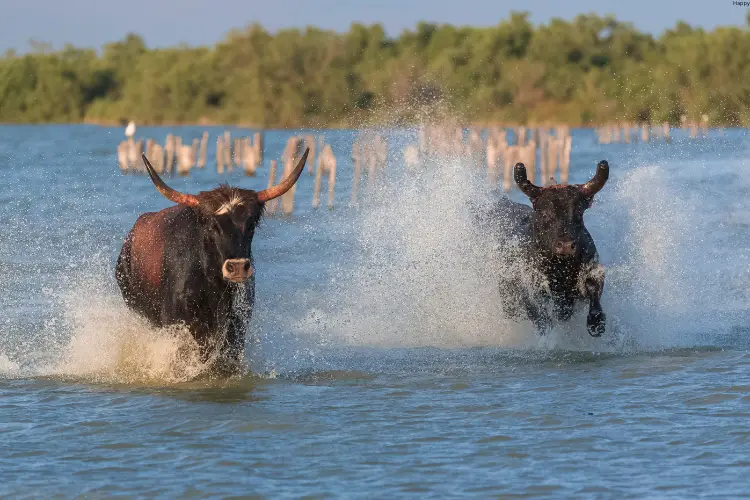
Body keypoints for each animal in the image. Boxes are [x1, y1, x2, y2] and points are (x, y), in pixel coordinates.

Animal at [114, 146, 308, 374]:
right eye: (212, 225)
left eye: (251, 224)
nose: (237, 267)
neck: (210, 283)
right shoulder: (176, 326)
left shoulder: (235, 329)